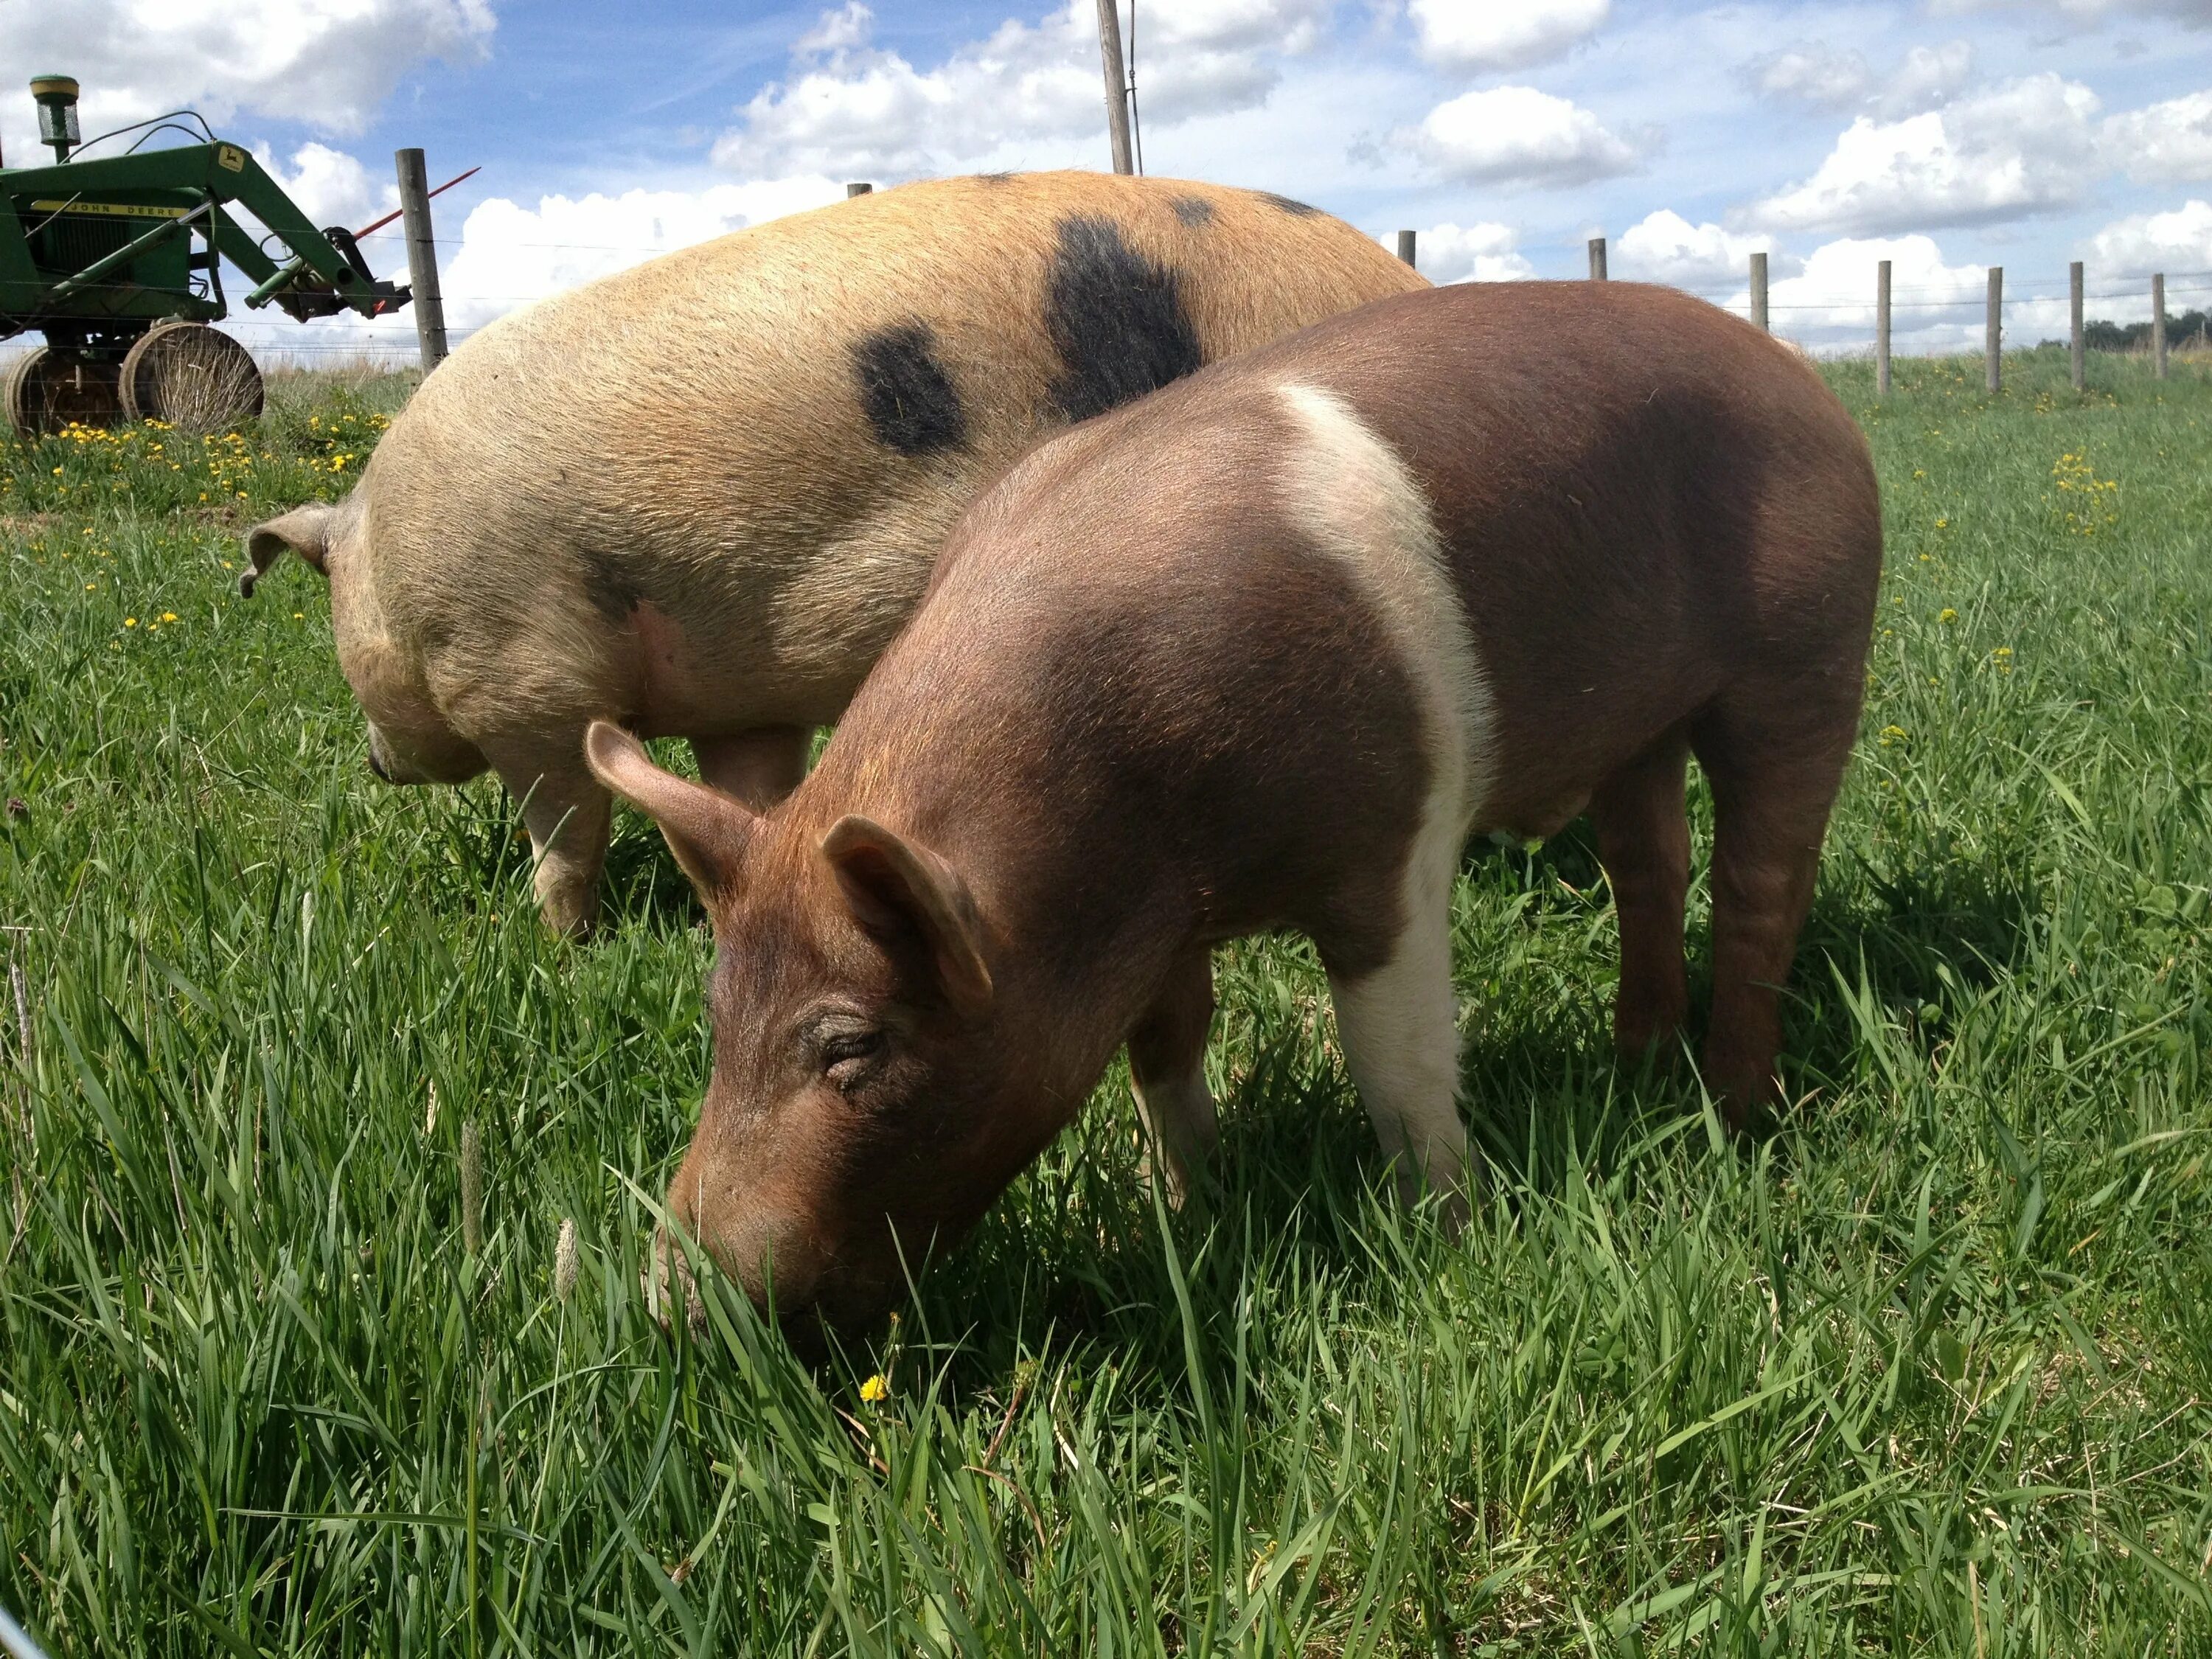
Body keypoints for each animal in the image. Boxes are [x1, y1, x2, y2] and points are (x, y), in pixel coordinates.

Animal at [237, 180, 1416, 942]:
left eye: (333, 613)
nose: (374, 764)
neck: (393, 565)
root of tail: (1392, 273)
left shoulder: (522, 676)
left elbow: (563, 834)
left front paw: (555, 950)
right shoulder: (735, 699)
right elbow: (750, 793)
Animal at [588, 279, 1885, 1336]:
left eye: (853, 1042)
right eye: (714, 1015)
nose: (671, 1303)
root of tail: (1799, 373)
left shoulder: (1390, 848)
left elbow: (1396, 1058)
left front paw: (1445, 1235)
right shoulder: (1152, 921)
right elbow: (1166, 1046)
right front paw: (1191, 1205)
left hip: (1809, 646)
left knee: (1762, 884)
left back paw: (1733, 1109)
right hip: (1642, 721)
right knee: (1647, 860)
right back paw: (1636, 1062)